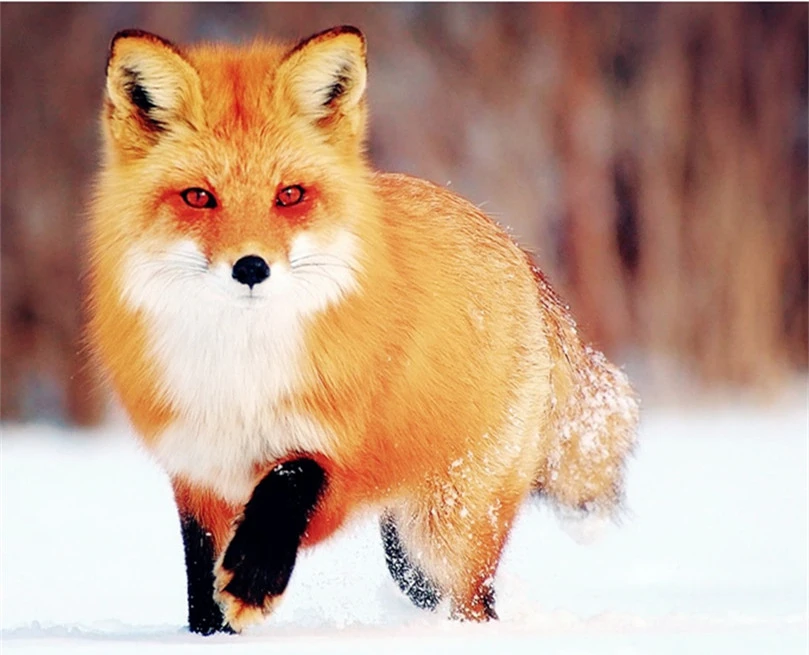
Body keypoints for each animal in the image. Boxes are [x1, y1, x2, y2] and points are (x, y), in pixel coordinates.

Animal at [86, 25, 639, 635]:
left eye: (290, 195)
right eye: (198, 197)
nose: (251, 268)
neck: (242, 375)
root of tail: (516, 249)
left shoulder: (341, 447)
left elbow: (288, 480)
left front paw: (253, 580)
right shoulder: (197, 469)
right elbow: (200, 582)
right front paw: (212, 633)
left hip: (448, 529)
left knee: (476, 601)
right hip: (409, 552)